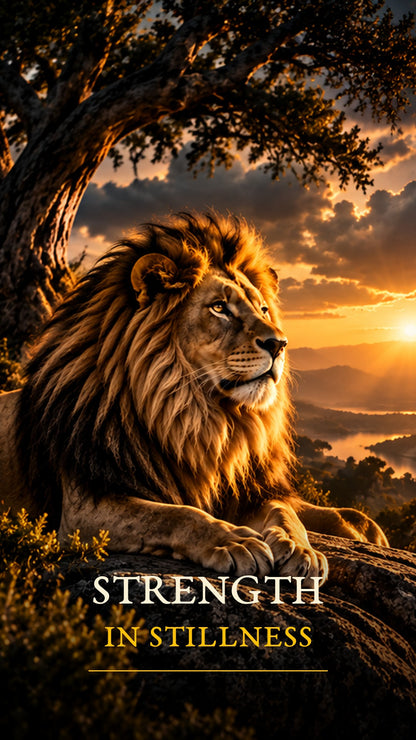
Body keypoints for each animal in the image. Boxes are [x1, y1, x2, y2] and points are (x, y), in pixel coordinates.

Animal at [0, 212, 388, 583]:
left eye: (263, 309)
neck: (199, 419)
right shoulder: (85, 507)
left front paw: (299, 548)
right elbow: (177, 515)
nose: (279, 344)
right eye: (219, 308)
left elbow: (285, 511)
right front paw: (235, 541)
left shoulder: (248, 487)